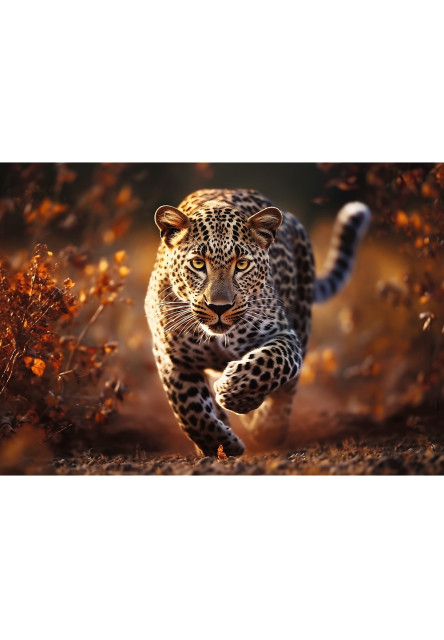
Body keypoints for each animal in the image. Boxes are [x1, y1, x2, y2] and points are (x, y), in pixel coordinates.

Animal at [145, 188, 370, 457]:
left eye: (242, 264)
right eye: (198, 263)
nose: (219, 307)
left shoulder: (285, 335)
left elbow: (271, 362)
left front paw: (235, 391)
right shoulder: (170, 356)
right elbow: (189, 409)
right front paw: (220, 444)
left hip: (303, 317)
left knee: (287, 390)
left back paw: (268, 426)